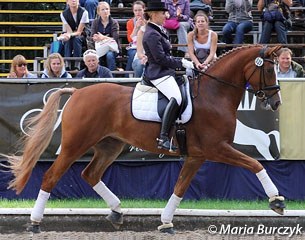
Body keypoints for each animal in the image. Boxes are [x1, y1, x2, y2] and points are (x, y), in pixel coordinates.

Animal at [5, 44, 284, 232]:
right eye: (270, 69)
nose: (276, 103)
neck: (214, 94)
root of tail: (77, 92)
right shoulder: (217, 148)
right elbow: (255, 163)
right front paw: (276, 200)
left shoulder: (197, 156)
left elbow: (179, 187)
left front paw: (166, 223)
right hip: (75, 145)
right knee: (51, 176)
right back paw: (35, 222)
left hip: (110, 146)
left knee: (90, 174)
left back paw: (117, 211)